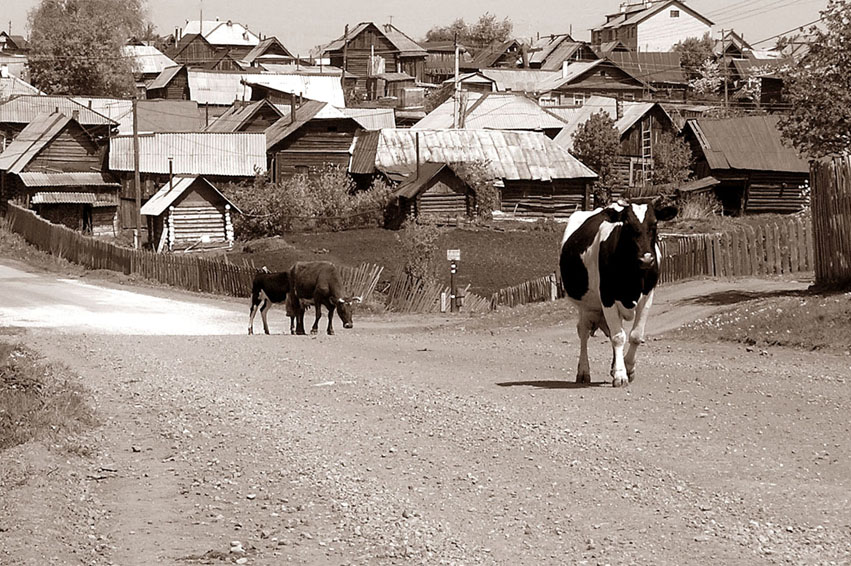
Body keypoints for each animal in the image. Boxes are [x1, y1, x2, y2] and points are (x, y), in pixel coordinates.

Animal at [560, 197, 680, 388]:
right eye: (627, 224)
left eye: (654, 223)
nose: (646, 258)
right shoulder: (607, 296)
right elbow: (618, 337)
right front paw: (620, 375)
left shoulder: (648, 296)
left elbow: (635, 336)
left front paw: (628, 368)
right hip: (585, 305)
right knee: (584, 332)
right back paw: (584, 371)